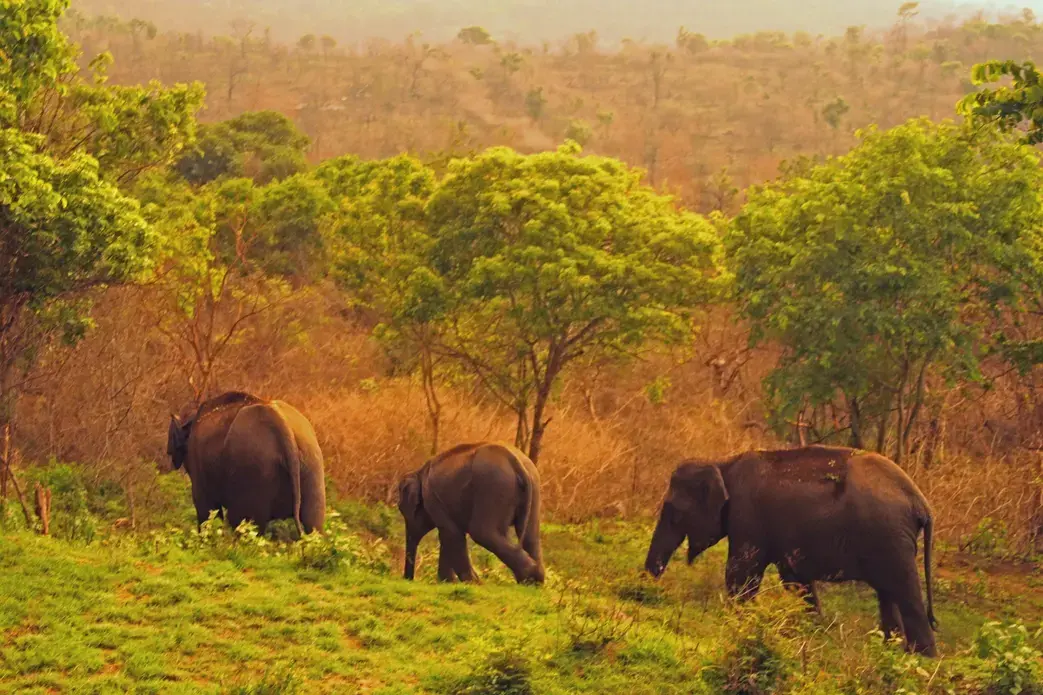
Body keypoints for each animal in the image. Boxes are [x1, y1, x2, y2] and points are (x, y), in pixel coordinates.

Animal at [166, 391, 326, 536]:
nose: (168, 452)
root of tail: (280, 422)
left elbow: (206, 509)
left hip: (252, 469)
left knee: (242, 523)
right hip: (311, 463)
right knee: (314, 523)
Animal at [397, 441, 544, 585]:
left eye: (402, 510)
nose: (408, 579)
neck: (419, 472)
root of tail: (514, 461)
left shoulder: (433, 499)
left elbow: (450, 533)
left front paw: (470, 582)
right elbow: (448, 535)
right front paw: (448, 582)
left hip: (493, 487)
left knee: (483, 533)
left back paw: (530, 576)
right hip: (532, 487)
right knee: (531, 536)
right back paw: (535, 581)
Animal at [644, 445, 938, 656]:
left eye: (673, 512)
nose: (648, 586)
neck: (722, 463)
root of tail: (921, 503)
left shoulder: (747, 516)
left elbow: (741, 574)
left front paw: (738, 623)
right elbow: (795, 581)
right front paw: (813, 633)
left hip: (891, 538)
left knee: (905, 594)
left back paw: (922, 659)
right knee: (888, 596)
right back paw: (892, 651)